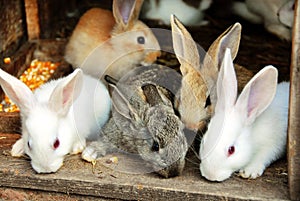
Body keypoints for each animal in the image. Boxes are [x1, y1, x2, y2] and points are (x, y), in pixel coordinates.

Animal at [200, 49, 290, 182]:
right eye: (204, 141)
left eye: (231, 150)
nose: (210, 175)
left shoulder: (273, 145)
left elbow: (263, 156)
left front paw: (249, 171)